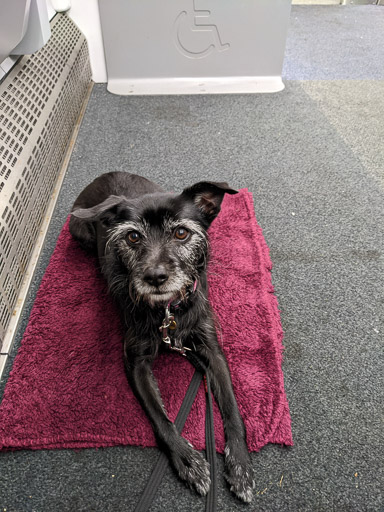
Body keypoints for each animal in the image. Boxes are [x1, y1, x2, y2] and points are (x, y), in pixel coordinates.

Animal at [69, 173, 255, 504]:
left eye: (181, 233)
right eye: (132, 237)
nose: (155, 277)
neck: (167, 310)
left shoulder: (211, 349)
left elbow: (232, 410)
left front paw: (240, 464)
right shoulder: (135, 361)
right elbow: (159, 419)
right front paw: (188, 462)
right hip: (82, 232)